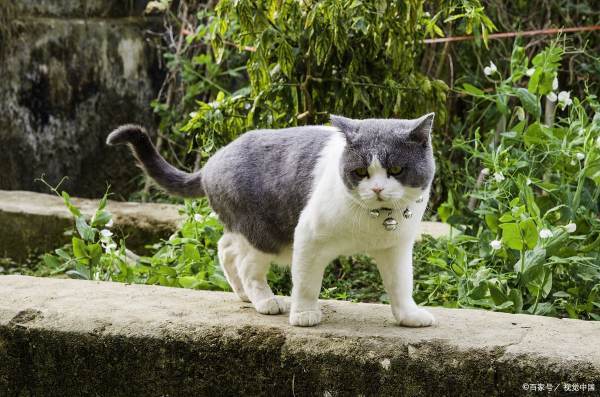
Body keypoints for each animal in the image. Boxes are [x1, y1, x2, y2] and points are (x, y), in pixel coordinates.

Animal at [106, 113, 436, 326]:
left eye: (396, 169)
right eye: (360, 172)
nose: (377, 189)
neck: (376, 219)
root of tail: (212, 162)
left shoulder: (395, 248)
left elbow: (401, 284)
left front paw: (408, 316)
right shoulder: (308, 236)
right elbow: (306, 283)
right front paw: (303, 315)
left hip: (247, 230)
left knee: (226, 248)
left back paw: (242, 294)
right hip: (265, 234)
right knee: (245, 264)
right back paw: (265, 301)